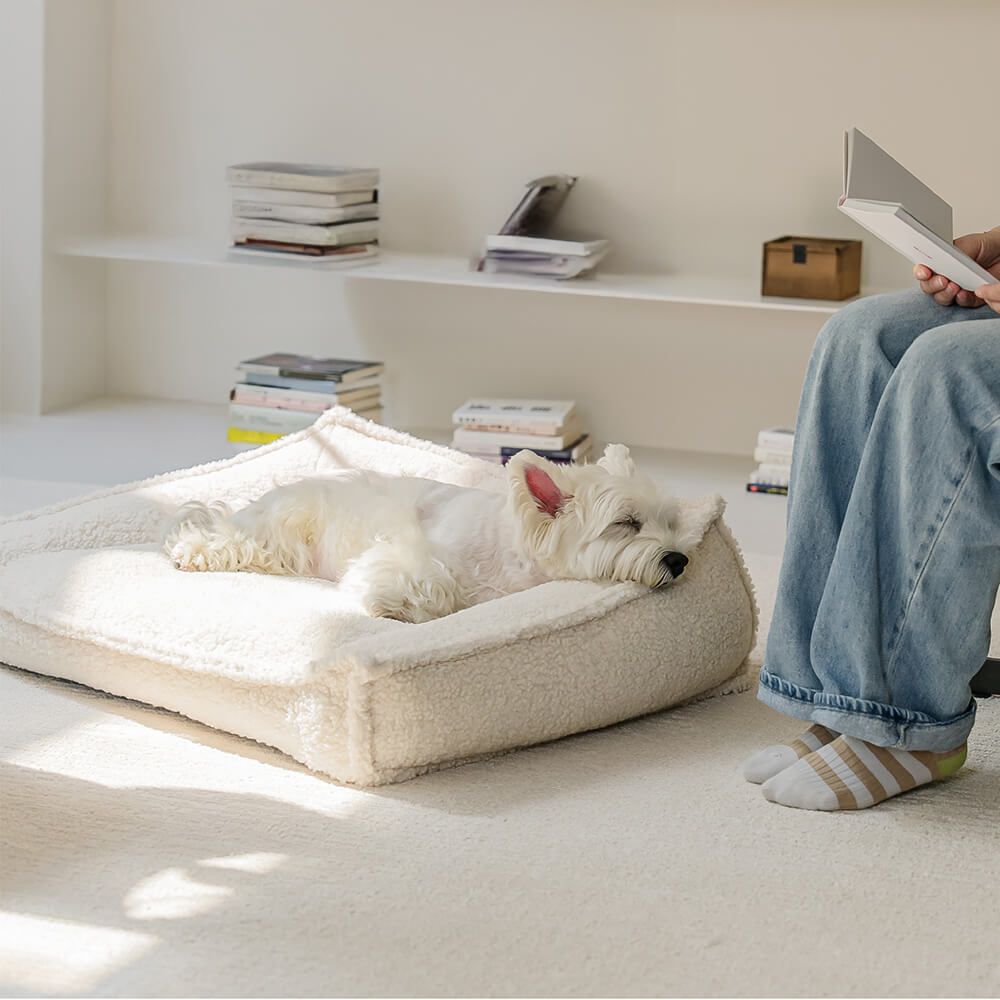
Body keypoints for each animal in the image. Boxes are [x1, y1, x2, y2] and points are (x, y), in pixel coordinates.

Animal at [164, 444, 696, 620]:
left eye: (670, 521)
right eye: (626, 524)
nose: (679, 559)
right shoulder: (416, 556)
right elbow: (421, 577)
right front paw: (392, 604)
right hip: (279, 530)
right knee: (229, 536)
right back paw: (192, 549)